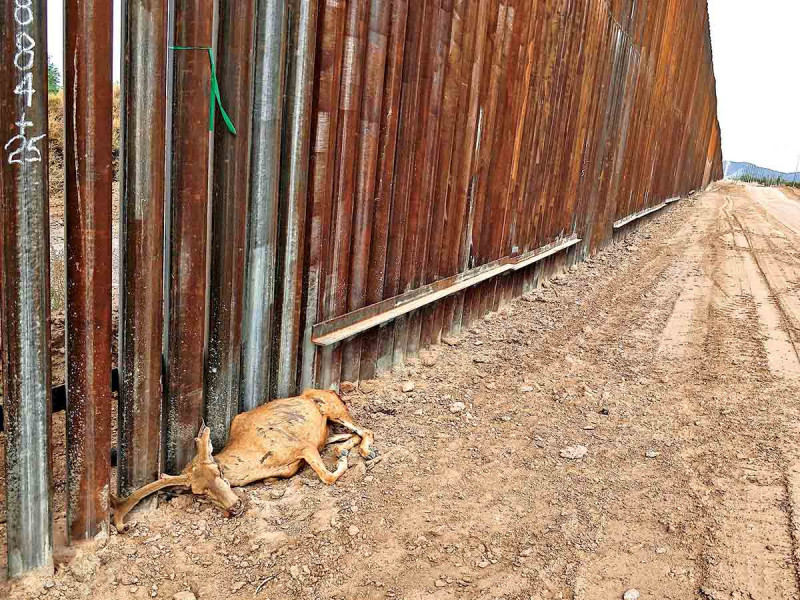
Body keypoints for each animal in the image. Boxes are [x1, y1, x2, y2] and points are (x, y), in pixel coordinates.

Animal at [111, 390, 376, 536]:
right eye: (199, 492)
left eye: (219, 472)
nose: (235, 506)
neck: (258, 462)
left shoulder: (303, 446)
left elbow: (327, 476)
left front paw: (343, 463)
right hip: (330, 427)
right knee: (347, 436)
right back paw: (346, 449)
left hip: (334, 409)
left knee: (366, 429)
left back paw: (364, 452)